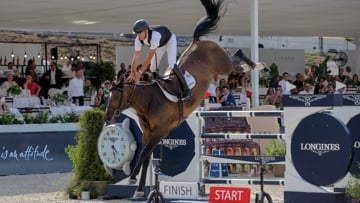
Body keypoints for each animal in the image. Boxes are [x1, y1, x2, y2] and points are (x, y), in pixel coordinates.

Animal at [104, 0, 256, 198]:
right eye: (108, 94)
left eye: (116, 95)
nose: (107, 117)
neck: (147, 101)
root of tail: (198, 41)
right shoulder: (148, 134)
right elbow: (146, 157)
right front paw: (139, 189)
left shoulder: (160, 132)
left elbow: (143, 154)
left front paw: (132, 178)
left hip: (224, 65)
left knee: (236, 54)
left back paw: (254, 65)